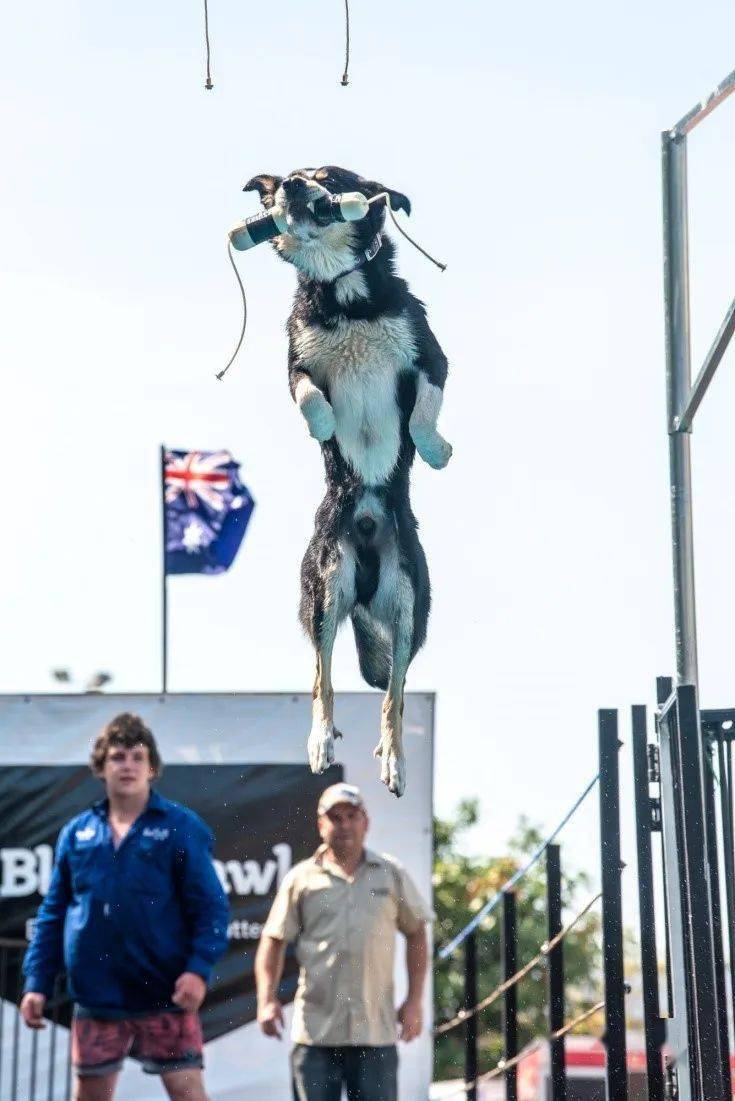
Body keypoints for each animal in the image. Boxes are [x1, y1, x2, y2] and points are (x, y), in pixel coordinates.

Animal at [245, 162, 453, 797]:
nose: (291, 184)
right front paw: (325, 425)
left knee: (395, 694)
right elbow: (309, 394)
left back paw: (394, 760)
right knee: (324, 678)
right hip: (323, 590)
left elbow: (423, 410)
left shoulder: (430, 357)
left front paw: (434, 449)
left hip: (409, 605)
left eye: (328, 177)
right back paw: (320, 741)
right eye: (291, 176)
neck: (347, 296)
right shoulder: (296, 360)